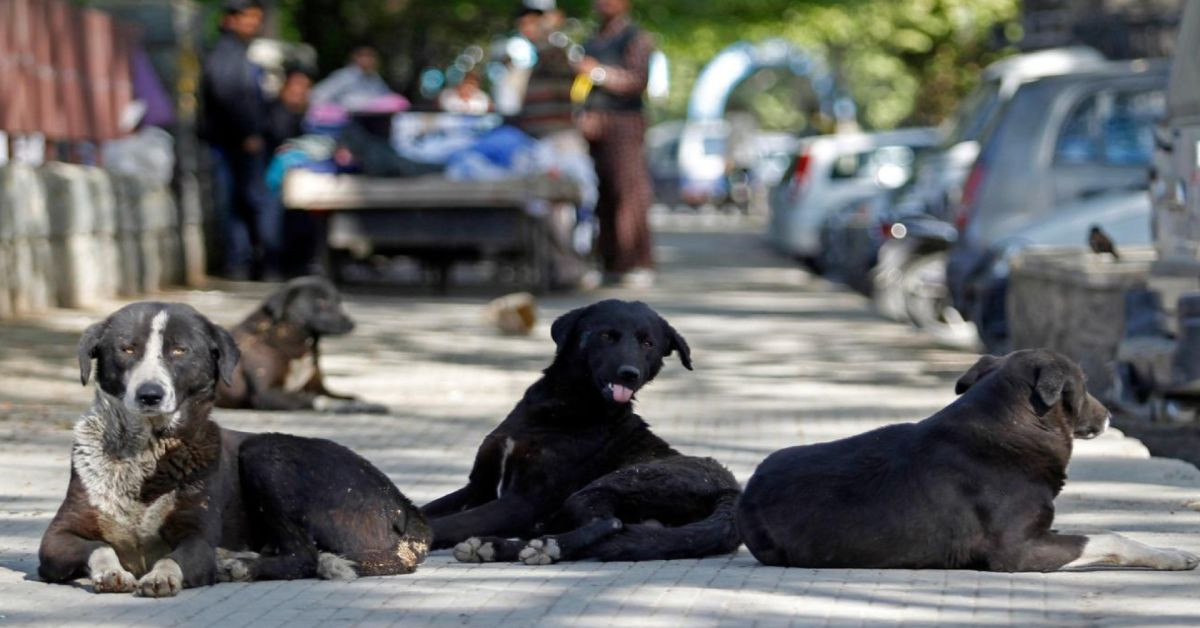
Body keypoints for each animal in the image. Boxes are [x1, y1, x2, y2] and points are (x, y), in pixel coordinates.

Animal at [38, 302, 432, 597]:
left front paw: (163, 575)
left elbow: (174, 558)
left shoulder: (197, 538)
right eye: (127, 349)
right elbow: (99, 546)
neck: (146, 452)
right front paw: (111, 571)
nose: (150, 394)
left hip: (264, 452)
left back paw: (237, 563)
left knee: (303, 555)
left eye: (179, 350)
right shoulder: (55, 539)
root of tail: (403, 502)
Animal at [213, 277, 386, 415]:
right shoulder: (266, 394)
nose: (351, 324)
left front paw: (365, 405)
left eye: (339, 302)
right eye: (321, 301)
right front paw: (340, 406)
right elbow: (315, 399)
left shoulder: (319, 387)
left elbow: (351, 397)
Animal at [422, 300, 739, 564]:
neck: (565, 407)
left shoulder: (524, 501)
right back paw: (499, 547)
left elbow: (452, 523)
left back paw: (540, 547)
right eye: (607, 336)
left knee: (609, 524)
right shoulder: (478, 487)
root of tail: (731, 492)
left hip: (610, 485)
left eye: (648, 343)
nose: (629, 374)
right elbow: (427, 510)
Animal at [739, 350, 1200, 571]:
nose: (1109, 416)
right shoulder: (1017, 550)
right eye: (1084, 386)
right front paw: (1169, 556)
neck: (1010, 427)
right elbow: (1111, 537)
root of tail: (746, 494)